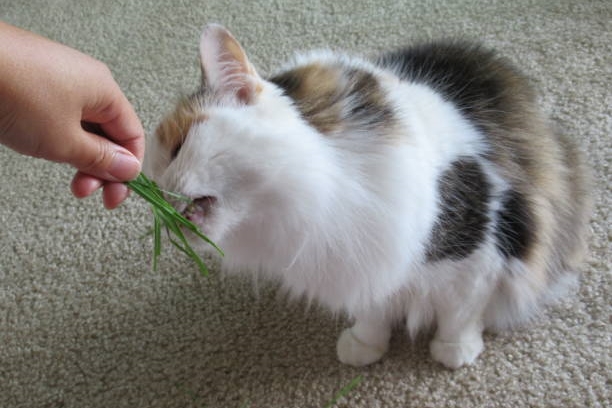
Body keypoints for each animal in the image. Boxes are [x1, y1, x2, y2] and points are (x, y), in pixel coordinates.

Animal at [146, 24, 592, 370]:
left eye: (179, 146)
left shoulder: (481, 248)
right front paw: (365, 344)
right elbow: (374, 308)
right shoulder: (364, 257)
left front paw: (454, 349)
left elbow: (461, 308)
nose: (154, 187)